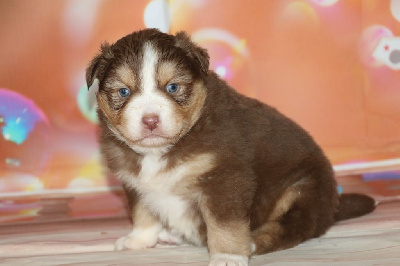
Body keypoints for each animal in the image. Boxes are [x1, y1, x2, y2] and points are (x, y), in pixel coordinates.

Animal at [86, 28, 376, 266]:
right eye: (123, 92)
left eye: (173, 87)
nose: (150, 120)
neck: (161, 151)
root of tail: (333, 207)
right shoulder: (136, 183)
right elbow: (143, 213)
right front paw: (138, 240)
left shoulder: (226, 178)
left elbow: (224, 225)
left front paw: (228, 256)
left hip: (302, 188)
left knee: (291, 228)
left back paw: (253, 241)